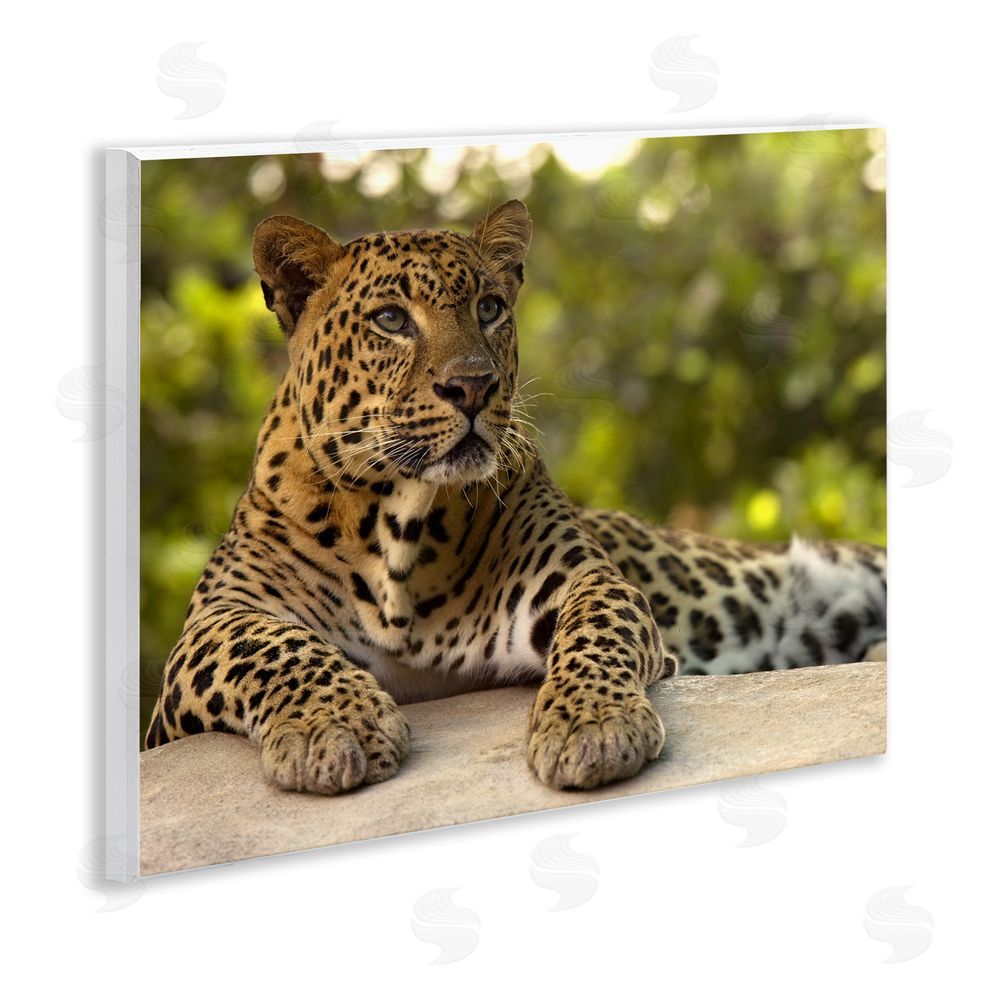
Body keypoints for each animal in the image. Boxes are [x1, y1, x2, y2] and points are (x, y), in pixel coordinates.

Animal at [144, 199, 887, 794]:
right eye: (391, 319)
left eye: (489, 308)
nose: (474, 386)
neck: (398, 523)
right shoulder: (208, 629)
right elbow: (271, 645)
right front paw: (335, 726)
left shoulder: (578, 579)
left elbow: (596, 627)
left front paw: (593, 724)